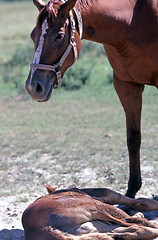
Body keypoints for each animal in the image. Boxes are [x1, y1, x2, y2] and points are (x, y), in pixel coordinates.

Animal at [25, 0, 157, 198]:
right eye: (33, 34)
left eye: (59, 36)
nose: (33, 87)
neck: (132, 22)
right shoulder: (126, 85)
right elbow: (133, 138)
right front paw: (131, 190)